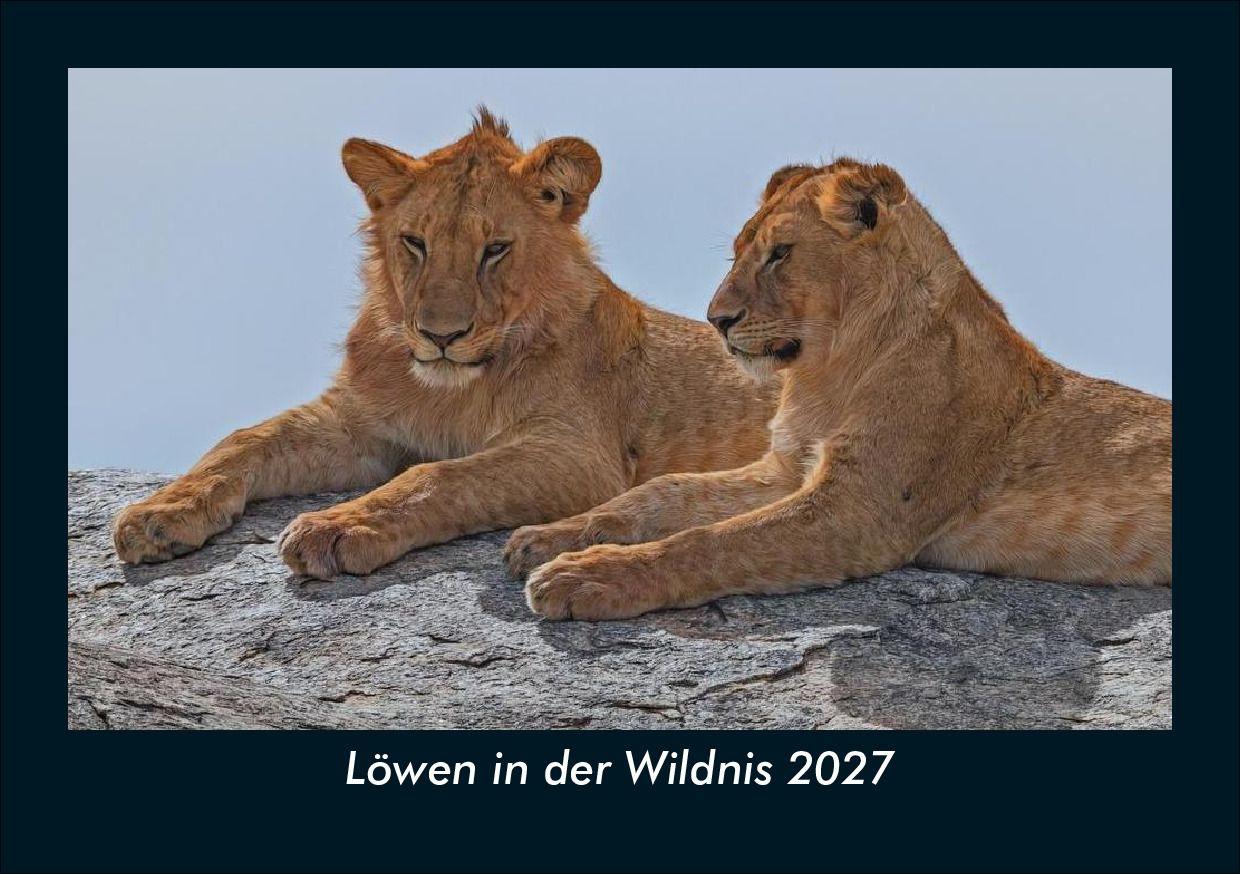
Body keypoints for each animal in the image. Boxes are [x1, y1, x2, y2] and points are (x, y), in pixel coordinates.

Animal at [113, 110, 777, 577]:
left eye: (495, 249)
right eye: (415, 242)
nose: (440, 335)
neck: (448, 389)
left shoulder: (581, 457)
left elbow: (439, 476)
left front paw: (336, 527)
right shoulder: (358, 425)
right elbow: (244, 439)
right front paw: (160, 512)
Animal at [513, 158, 1171, 620]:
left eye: (780, 253)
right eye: (737, 254)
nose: (716, 319)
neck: (828, 372)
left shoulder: (858, 511)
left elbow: (710, 542)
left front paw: (586, 577)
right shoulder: (785, 469)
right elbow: (660, 494)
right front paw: (548, 536)